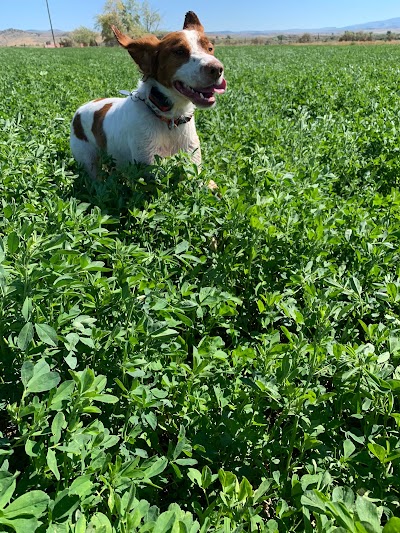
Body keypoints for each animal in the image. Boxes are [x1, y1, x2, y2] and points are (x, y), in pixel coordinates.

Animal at [70, 9, 227, 181]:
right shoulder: (150, 170)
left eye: (210, 48)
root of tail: (80, 109)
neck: (170, 120)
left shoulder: (193, 167)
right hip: (88, 161)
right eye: (179, 52)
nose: (217, 69)